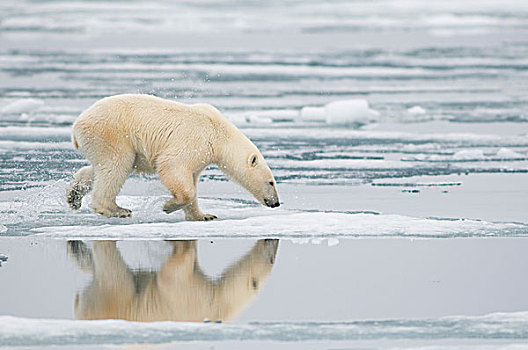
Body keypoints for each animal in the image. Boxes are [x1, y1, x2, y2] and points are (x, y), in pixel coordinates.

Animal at [66, 93, 280, 219]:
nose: (276, 203)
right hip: (112, 134)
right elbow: (173, 166)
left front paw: (203, 216)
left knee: (101, 167)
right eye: (271, 182)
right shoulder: (195, 140)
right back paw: (116, 210)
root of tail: (77, 126)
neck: (219, 132)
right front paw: (168, 206)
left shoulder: (202, 155)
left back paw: (74, 196)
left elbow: (192, 179)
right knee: (116, 166)